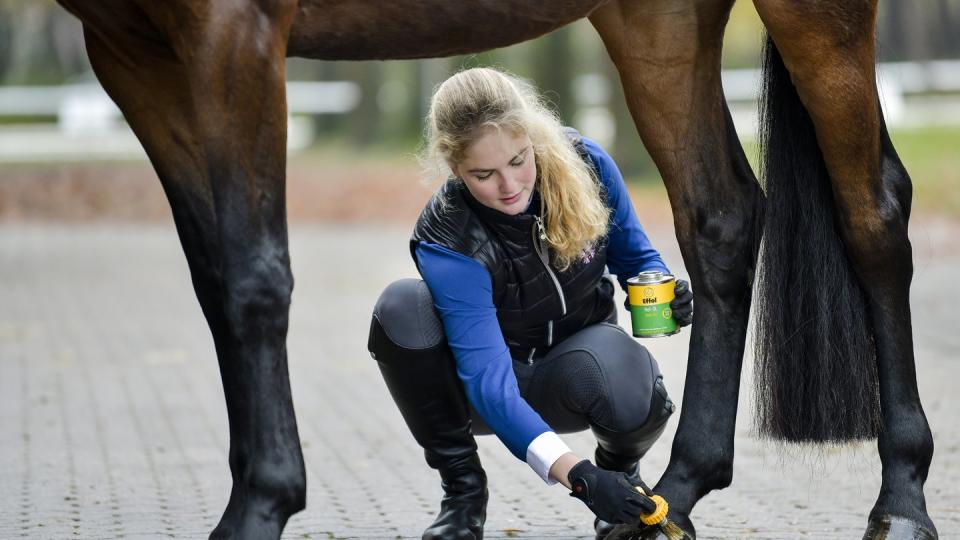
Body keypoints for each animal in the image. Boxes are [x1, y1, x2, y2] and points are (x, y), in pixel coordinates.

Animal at [52, 1, 936, 540]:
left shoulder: (232, 32)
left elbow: (252, 278)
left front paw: (261, 503)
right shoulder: (135, 53)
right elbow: (214, 279)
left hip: (813, 15)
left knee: (873, 213)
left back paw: (900, 501)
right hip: (660, 23)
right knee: (719, 216)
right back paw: (669, 495)